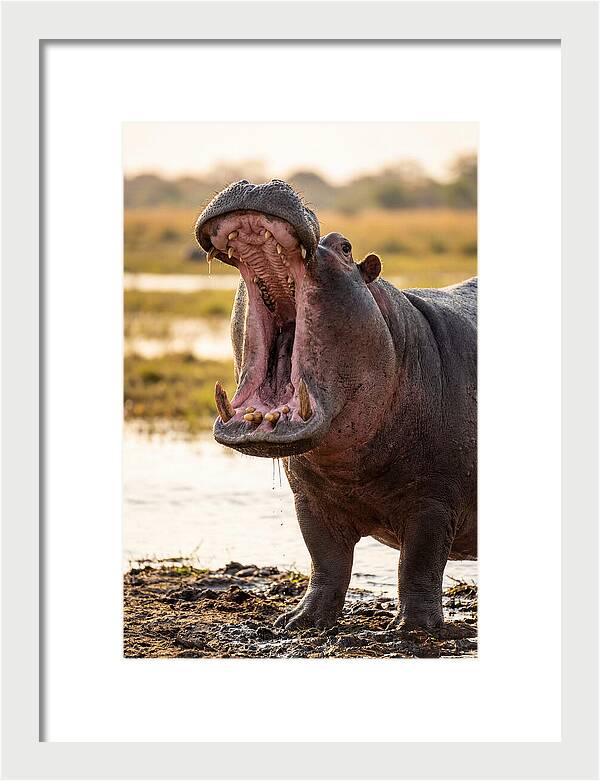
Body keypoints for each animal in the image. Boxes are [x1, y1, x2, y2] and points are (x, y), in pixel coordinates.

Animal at [195, 180, 477, 630]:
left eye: (345, 247)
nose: (258, 183)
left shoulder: (434, 503)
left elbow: (418, 564)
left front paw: (413, 629)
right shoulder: (309, 500)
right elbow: (326, 560)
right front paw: (299, 621)